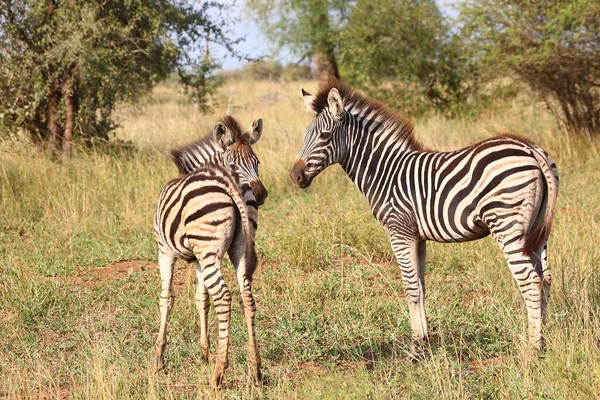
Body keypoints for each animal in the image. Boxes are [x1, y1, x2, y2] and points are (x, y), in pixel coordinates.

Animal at [155, 118, 268, 388]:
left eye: (257, 163)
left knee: (224, 298)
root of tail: (230, 186)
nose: (260, 194)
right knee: (246, 297)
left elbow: (167, 298)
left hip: (207, 249)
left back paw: (218, 373)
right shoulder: (198, 259)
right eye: (234, 164)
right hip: (236, 249)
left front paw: (159, 358)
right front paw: (204, 353)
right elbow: (201, 299)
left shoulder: (164, 251)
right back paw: (255, 369)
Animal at [290, 79, 556, 352]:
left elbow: (410, 288)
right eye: (305, 136)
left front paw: (415, 347)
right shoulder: (417, 237)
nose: (295, 176)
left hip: (507, 224)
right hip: (537, 231)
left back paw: (533, 347)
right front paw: (425, 340)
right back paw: (544, 338)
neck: (385, 171)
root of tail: (530, 148)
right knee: (544, 279)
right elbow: (420, 286)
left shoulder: (400, 233)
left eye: (324, 136)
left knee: (530, 281)